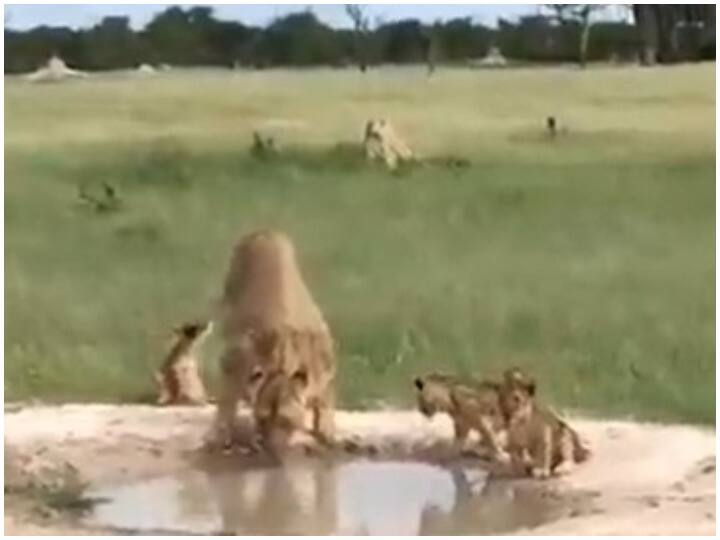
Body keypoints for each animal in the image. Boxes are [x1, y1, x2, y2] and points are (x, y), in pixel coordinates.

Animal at [211, 230, 336, 448]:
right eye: (262, 419)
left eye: (285, 420)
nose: (271, 447)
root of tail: (264, 231)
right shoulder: (232, 360)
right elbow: (226, 400)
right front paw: (221, 433)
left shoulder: (325, 361)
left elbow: (326, 395)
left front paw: (326, 428)